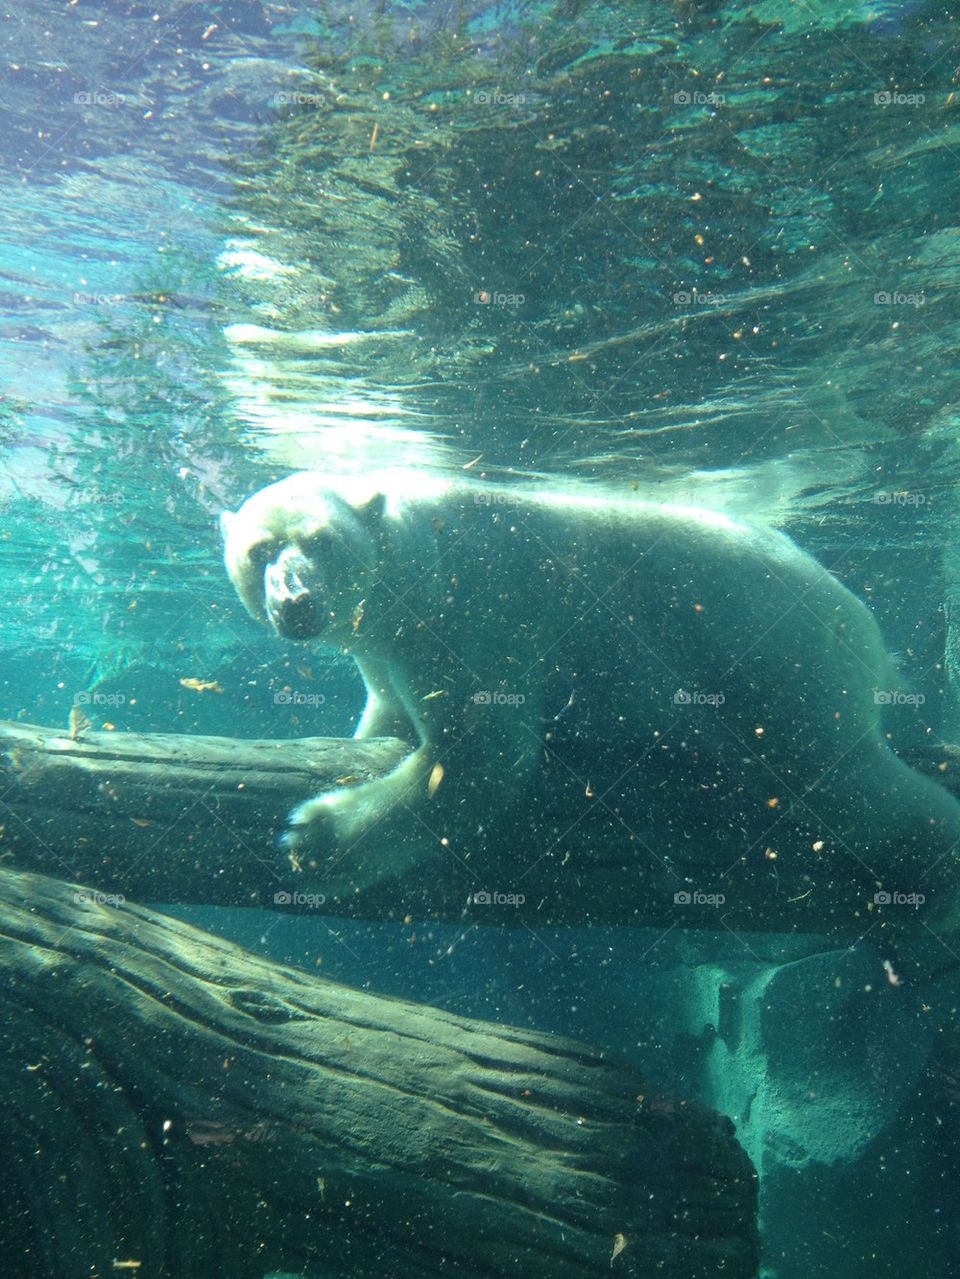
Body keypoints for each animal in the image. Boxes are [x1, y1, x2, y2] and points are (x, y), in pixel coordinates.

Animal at [221, 469, 960, 935]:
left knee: (845, 781)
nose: (296, 602)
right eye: (259, 551)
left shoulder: (476, 609)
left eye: (320, 541)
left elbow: (479, 757)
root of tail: (862, 620)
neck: (416, 551)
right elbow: (390, 714)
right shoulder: (384, 644)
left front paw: (315, 839)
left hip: (776, 663)